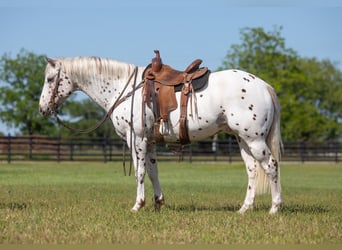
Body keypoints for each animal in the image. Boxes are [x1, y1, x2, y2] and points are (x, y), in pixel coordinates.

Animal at [38, 55, 284, 214]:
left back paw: (274, 208)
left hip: (254, 139)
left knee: (271, 166)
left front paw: (138, 205)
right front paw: (158, 203)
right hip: (242, 140)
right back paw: (244, 209)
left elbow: (139, 172)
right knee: (252, 170)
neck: (124, 89)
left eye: (49, 79)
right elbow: (152, 172)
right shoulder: (150, 142)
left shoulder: (136, 139)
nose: (42, 109)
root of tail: (264, 86)